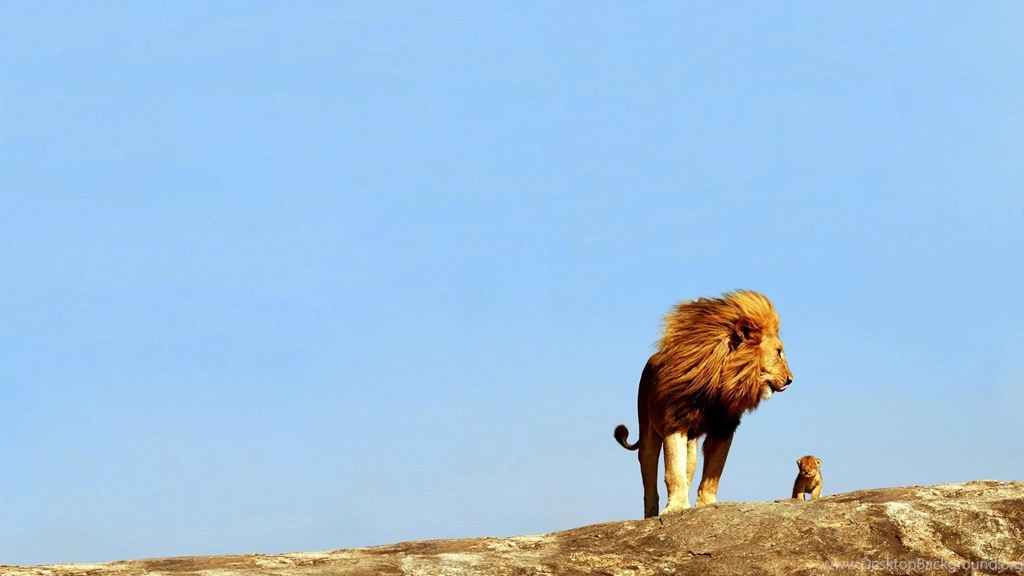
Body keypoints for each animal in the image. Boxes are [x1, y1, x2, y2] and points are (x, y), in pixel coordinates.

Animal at [614, 290, 793, 518]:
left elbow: (713, 473)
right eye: (779, 352)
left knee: (688, 470)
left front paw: (705, 505)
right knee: (649, 477)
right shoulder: (675, 422)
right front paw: (675, 507)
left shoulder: (724, 428)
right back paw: (652, 514)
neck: (720, 381)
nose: (790, 379)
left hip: (691, 445)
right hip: (647, 432)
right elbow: (673, 471)